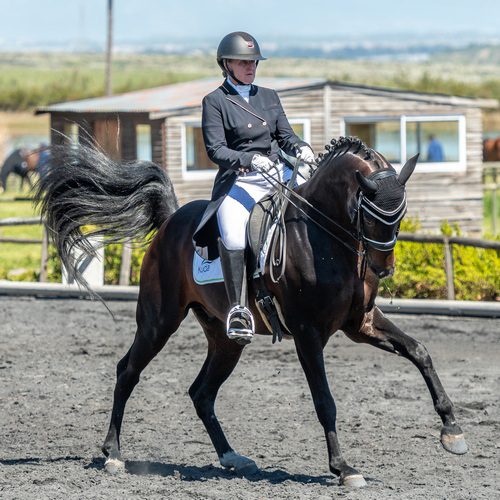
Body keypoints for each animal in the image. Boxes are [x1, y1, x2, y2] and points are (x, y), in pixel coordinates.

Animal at [36, 137, 468, 488]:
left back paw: (232, 457)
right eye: (370, 212)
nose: (383, 269)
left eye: (401, 213)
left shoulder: (360, 323)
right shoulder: (308, 333)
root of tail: (172, 220)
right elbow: (324, 400)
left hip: (226, 340)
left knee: (202, 392)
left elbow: (419, 352)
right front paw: (344, 468)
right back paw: (113, 454)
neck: (322, 236)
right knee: (128, 371)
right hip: (159, 322)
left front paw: (452, 432)